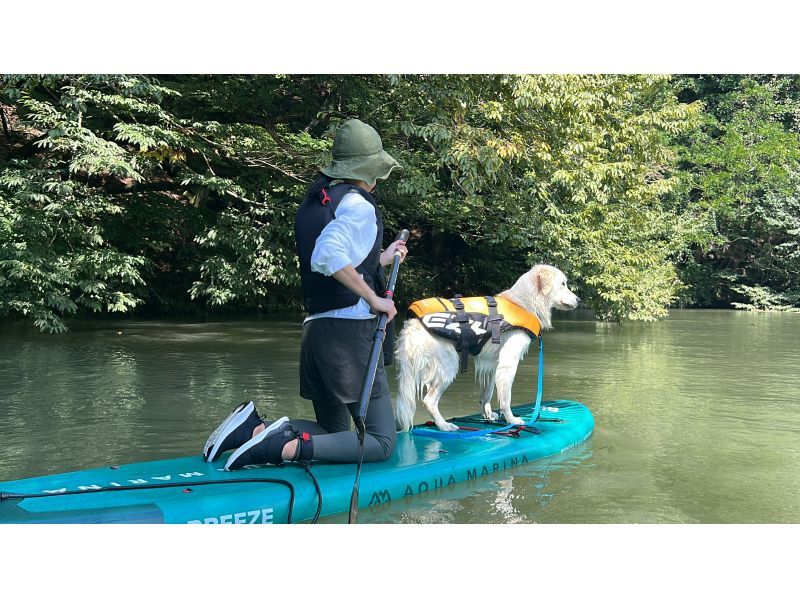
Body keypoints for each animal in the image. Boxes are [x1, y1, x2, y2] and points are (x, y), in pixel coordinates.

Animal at [396, 266, 580, 432]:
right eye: (563, 284)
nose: (579, 300)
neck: (523, 303)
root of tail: (414, 324)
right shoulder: (508, 362)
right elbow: (506, 398)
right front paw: (511, 420)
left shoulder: (492, 363)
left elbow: (487, 393)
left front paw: (488, 415)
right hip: (449, 365)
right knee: (429, 400)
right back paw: (444, 426)